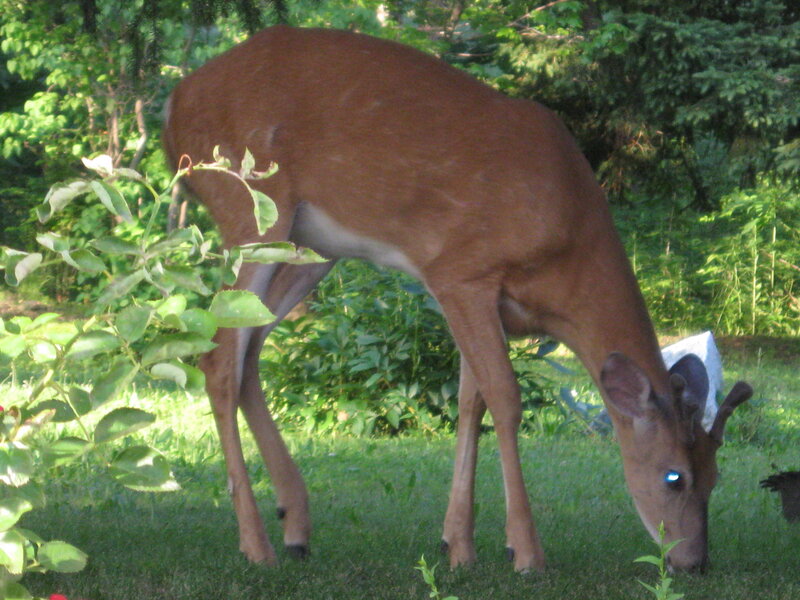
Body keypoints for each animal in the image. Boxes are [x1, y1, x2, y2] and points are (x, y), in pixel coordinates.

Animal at [162, 25, 753, 573]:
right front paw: (525, 552)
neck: (565, 256)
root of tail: (175, 103)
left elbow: (472, 401)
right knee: (219, 358)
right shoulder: (461, 272)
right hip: (249, 205)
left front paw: (458, 545)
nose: (693, 562)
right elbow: (506, 399)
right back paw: (256, 544)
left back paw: (296, 525)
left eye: (716, 476)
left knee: (249, 351)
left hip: (313, 248)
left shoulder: (484, 300)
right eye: (674, 477)